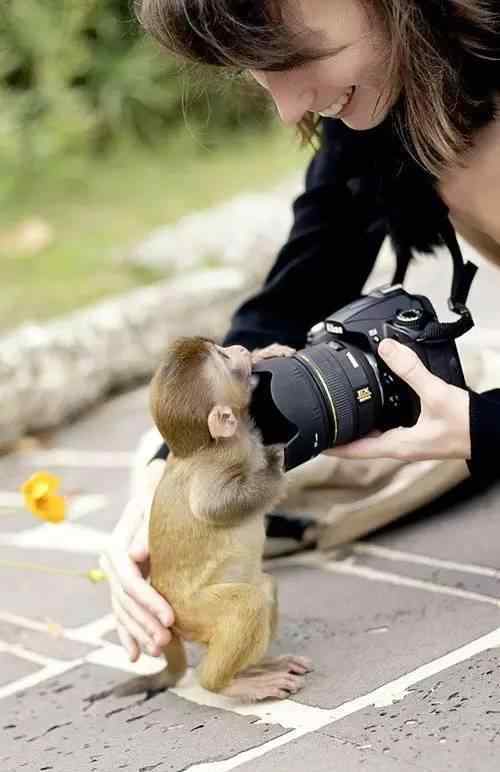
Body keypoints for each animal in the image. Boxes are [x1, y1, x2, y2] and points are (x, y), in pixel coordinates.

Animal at [115, 334, 312, 704]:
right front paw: (275, 464)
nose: (239, 350)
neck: (204, 446)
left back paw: (253, 669)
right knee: (246, 604)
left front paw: (265, 353)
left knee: (264, 588)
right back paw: (225, 683)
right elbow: (214, 507)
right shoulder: (217, 463)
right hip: (193, 611)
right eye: (224, 358)